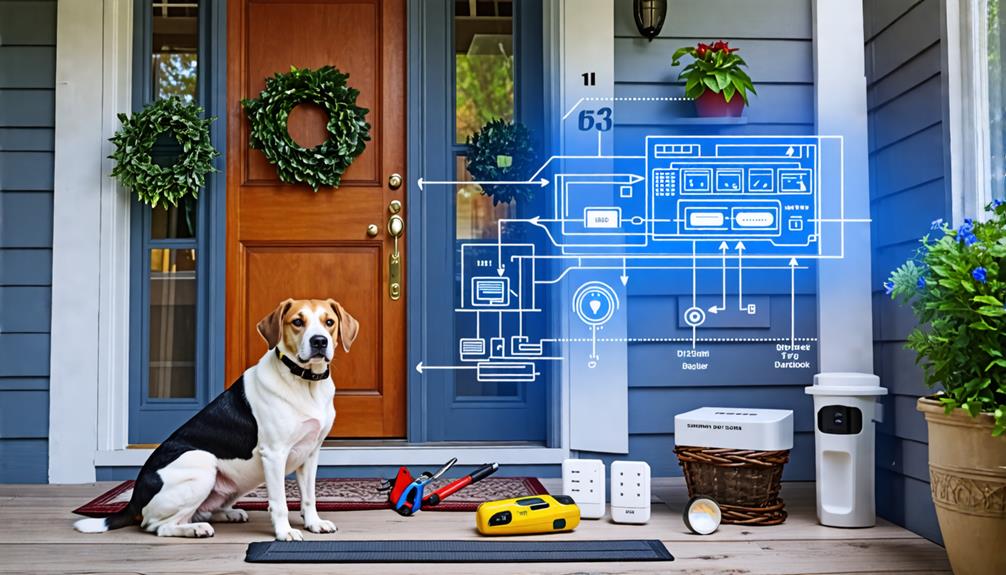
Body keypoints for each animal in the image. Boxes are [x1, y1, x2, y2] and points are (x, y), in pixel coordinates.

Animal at [75, 299, 358, 542]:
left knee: (198, 512)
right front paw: (284, 532)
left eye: (329, 322)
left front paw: (314, 523)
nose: (319, 341)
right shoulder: (274, 454)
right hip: (202, 462)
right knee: (158, 525)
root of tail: (135, 498)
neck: (304, 382)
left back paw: (228, 513)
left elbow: (309, 496)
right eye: (297, 322)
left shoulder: (310, 453)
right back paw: (195, 529)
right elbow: (279, 502)